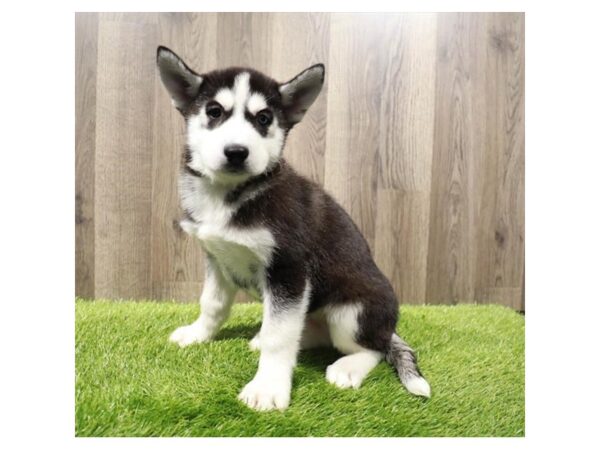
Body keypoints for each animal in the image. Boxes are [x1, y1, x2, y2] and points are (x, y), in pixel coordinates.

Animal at [158, 45, 432, 412]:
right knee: (309, 332)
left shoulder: (288, 270)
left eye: (264, 119)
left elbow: (280, 337)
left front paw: (267, 388)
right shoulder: (217, 259)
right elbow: (212, 304)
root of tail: (388, 326)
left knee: (372, 348)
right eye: (214, 111)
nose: (236, 152)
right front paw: (198, 334)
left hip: (352, 314)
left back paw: (348, 367)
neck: (230, 195)